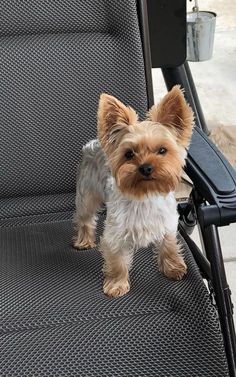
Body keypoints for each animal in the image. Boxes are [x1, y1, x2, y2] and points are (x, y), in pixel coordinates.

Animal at [73, 85, 194, 296]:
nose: (146, 168)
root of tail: (92, 143)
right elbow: (117, 261)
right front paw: (116, 284)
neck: (145, 194)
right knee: (85, 217)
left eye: (162, 150)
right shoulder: (116, 233)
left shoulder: (167, 224)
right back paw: (84, 241)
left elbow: (168, 245)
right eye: (129, 154)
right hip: (87, 192)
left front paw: (173, 268)